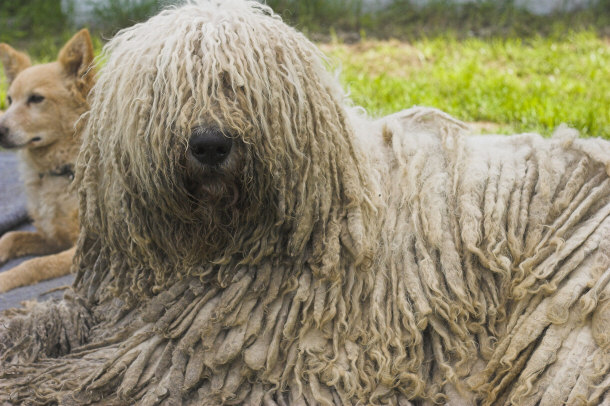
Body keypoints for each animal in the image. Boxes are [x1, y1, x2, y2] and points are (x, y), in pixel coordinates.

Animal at [0, 30, 94, 294]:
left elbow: (34, 265)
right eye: (9, 100)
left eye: (36, 98)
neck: (59, 170)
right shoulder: (52, 238)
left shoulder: (80, 249)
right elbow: (10, 237)